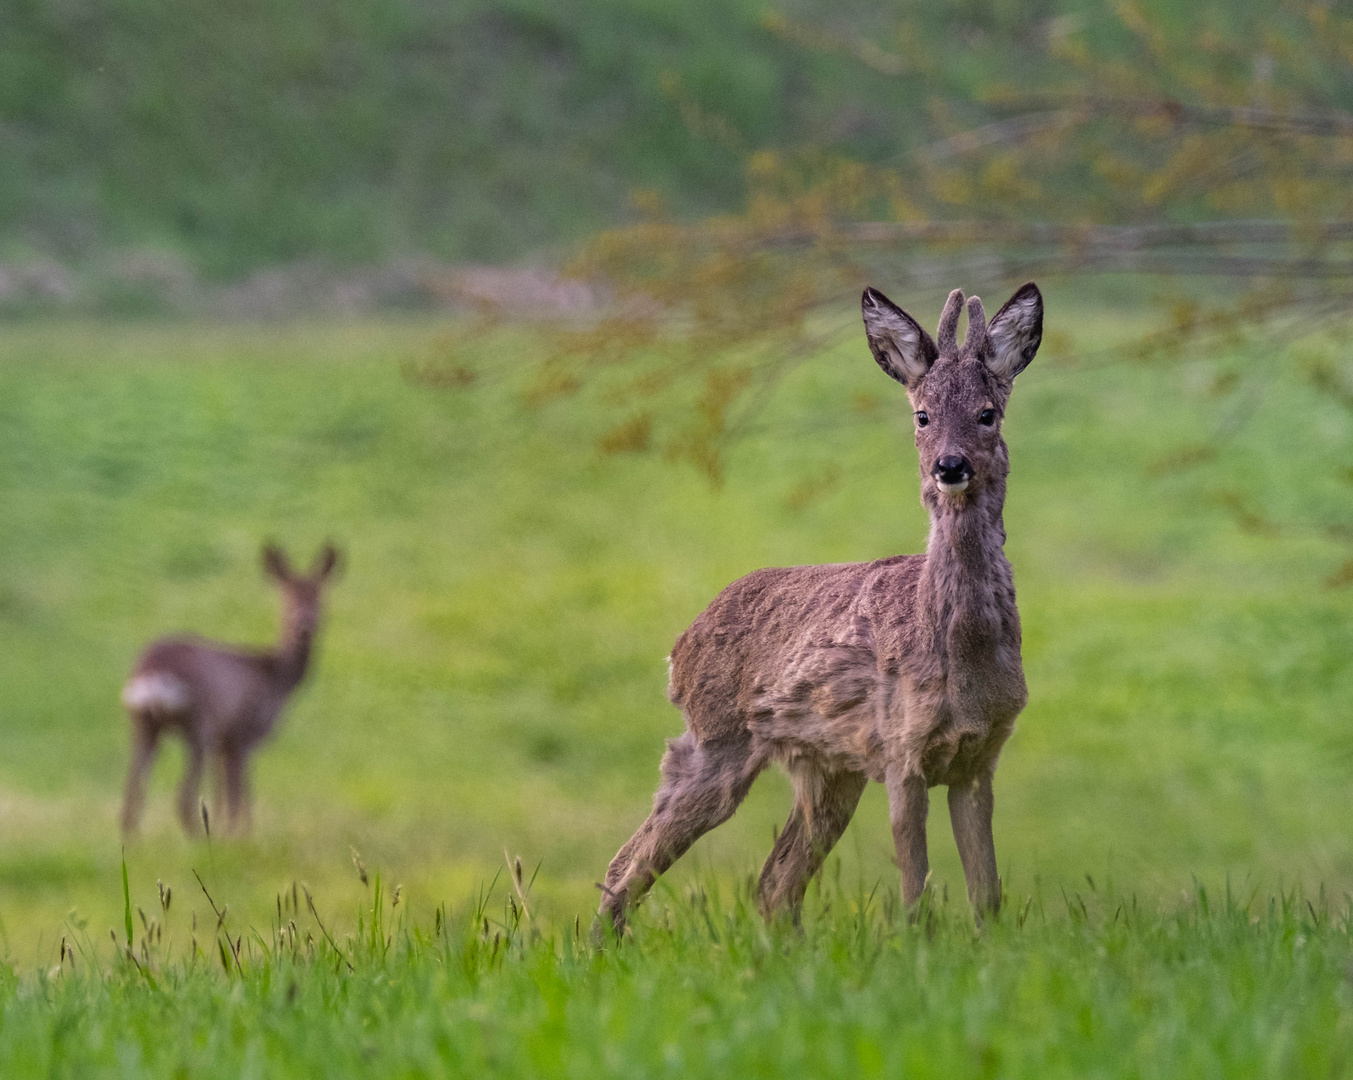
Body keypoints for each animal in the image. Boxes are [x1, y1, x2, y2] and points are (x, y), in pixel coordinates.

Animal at [121, 546, 340, 839]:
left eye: (318, 597)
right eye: (287, 597)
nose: (303, 625)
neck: (276, 676)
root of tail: (151, 669)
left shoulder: (223, 741)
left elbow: (222, 793)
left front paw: (229, 833)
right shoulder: (243, 733)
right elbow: (240, 794)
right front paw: (241, 837)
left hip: (143, 724)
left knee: (131, 799)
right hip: (198, 723)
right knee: (183, 799)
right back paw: (202, 842)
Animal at [598, 282, 1039, 936]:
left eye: (988, 413)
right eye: (922, 415)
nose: (950, 466)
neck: (962, 656)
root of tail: (679, 648)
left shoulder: (979, 757)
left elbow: (987, 894)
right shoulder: (901, 751)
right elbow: (916, 887)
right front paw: (918, 944)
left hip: (827, 769)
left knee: (773, 883)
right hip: (718, 739)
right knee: (630, 862)